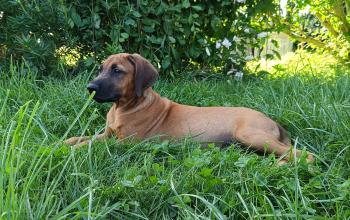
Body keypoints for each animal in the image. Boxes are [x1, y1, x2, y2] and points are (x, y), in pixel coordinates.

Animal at [65, 52, 314, 164]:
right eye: (102, 68)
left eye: (117, 70)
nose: (90, 88)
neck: (123, 107)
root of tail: (276, 124)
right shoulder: (108, 134)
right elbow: (84, 137)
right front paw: (64, 142)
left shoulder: (126, 142)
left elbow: (91, 145)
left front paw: (73, 151)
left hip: (250, 133)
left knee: (306, 155)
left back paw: (277, 166)